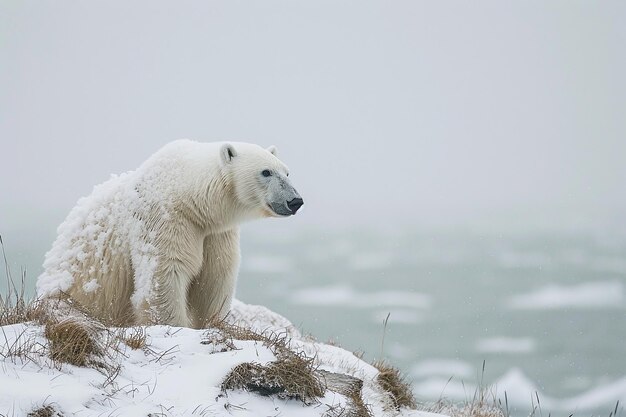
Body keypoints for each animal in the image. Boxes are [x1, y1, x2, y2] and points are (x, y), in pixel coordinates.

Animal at [35, 140, 304, 328]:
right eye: (266, 172)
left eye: (287, 172)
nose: (295, 201)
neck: (190, 195)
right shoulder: (164, 219)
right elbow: (165, 275)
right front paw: (175, 327)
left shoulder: (216, 233)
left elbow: (215, 277)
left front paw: (214, 323)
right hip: (72, 292)